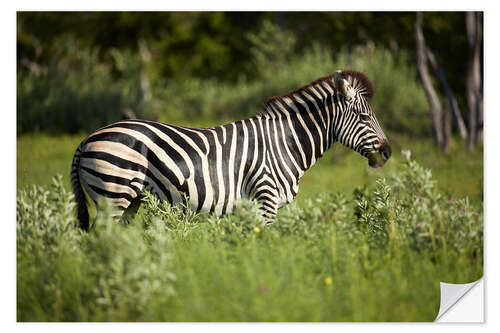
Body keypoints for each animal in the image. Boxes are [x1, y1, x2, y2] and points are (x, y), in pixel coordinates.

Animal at [70, 69, 390, 231]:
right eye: (364, 117)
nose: (387, 152)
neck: (284, 144)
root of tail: (87, 139)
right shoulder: (265, 197)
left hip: (130, 200)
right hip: (113, 194)